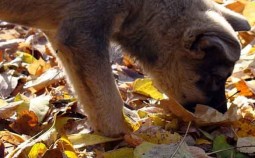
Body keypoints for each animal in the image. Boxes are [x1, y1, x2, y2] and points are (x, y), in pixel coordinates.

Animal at [0, 0, 250, 136]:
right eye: (216, 78)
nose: (221, 115)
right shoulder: (83, 36)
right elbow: (108, 99)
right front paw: (122, 134)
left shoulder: (64, 38)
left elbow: (92, 98)